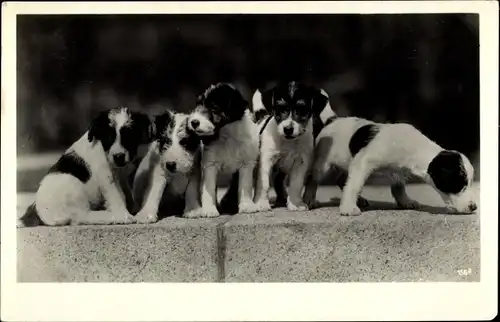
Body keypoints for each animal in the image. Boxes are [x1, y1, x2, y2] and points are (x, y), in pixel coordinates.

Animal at [19, 106, 154, 226]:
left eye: (129, 136)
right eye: (108, 137)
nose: (118, 156)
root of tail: (38, 212)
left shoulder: (120, 175)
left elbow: (125, 192)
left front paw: (132, 209)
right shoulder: (106, 175)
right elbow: (117, 195)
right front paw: (124, 215)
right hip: (72, 187)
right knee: (81, 217)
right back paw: (110, 216)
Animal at [186, 83, 260, 219]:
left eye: (214, 108)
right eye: (198, 105)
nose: (193, 122)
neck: (227, 135)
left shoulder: (246, 164)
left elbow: (245, 185)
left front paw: (246, 205)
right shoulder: (210, 165)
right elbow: (209, 188)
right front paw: (209, 209)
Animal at [252, 81, 326, 211]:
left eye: (302, 110)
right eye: (280, 109)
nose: (288, 129)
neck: (288, 142)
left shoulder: (300, 162)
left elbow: (296, 184)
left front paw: (295, 203)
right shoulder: (266, 160)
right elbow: (264, 183)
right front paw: (261, 203)